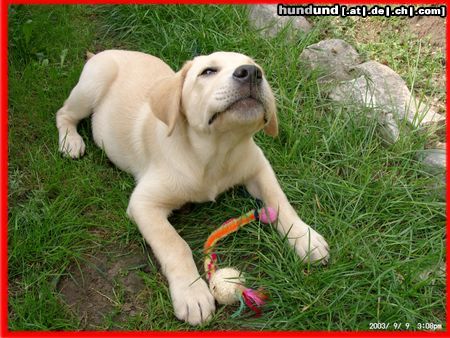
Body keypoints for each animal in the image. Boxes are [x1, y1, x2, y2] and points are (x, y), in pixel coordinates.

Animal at [58, 50, 328, 324]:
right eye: (207, 72)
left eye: (257, 68)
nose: (251, 73)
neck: (216, 152)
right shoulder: (144, 204)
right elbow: (175, 245)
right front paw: (192, 294)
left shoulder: (259, 167)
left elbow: (279, 200)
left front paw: (305, 239)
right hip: (92, 84)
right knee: (63, 112)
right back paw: (70, 141)